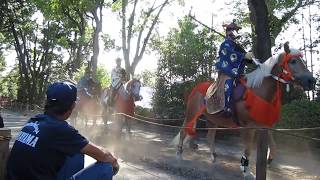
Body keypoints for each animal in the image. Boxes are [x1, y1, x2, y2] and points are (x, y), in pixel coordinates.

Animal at [174, 43, 314, 177]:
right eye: (293, 61)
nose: (311, 81)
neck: (258, 93)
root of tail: (194, 89)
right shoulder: (248, 126)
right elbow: (248, 149)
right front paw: (246, 170)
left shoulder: (265, 126)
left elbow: (273, 147)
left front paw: (268, 161)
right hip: (192, 113)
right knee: (183, 131)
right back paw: (179, 154)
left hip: (213, 119)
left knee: (210, 137)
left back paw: (213, 157)